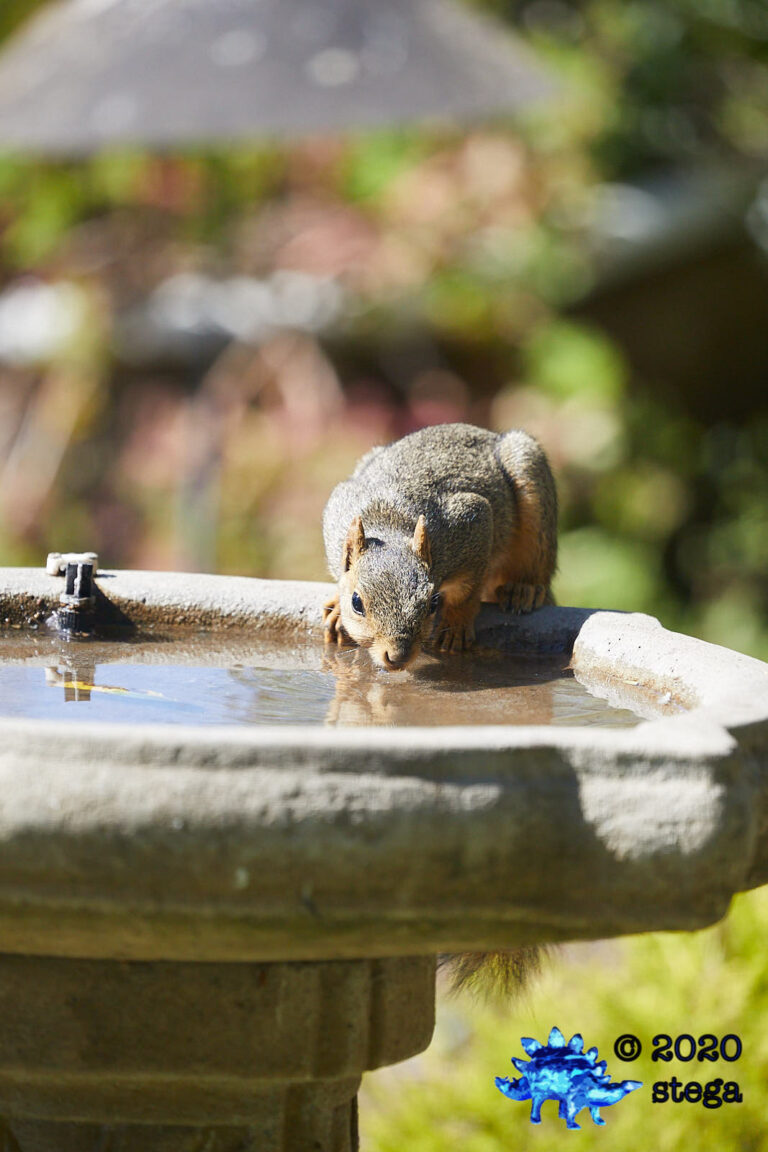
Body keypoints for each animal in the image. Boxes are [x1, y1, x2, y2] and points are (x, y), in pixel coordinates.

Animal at [322, 423, 557, 669]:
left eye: (432, 603)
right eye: (356, 602)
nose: (398, 657)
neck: (390, 522)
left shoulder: (472, 522)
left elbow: (466, 592)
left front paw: (456, 624)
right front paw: (338, 608)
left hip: (531, 487)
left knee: (536, 563)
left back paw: (523, 588)